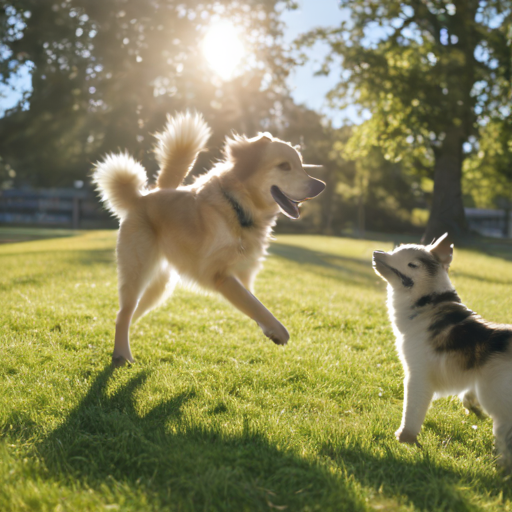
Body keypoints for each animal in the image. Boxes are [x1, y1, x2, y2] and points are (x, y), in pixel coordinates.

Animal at [92, 114, 324, 366]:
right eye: (284, 166)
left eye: (301, 166)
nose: (321, 186)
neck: (238, 208)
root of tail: (141, 197)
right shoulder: (220, 275)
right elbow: (256, 304)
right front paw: (278, 331)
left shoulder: (244, 274)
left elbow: (253, 301)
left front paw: (268, 329)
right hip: (137, 273)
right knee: (123, 314)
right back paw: (122, 355)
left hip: (159, 287)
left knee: (125, 316)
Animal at [372, 234, 512, 470]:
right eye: (395, 250)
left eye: (412, 264)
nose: (377, 252)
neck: (427, 303)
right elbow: (467, 397)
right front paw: (473, 408)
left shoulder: (417, 376)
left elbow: (412, 410)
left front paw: (405, 437)